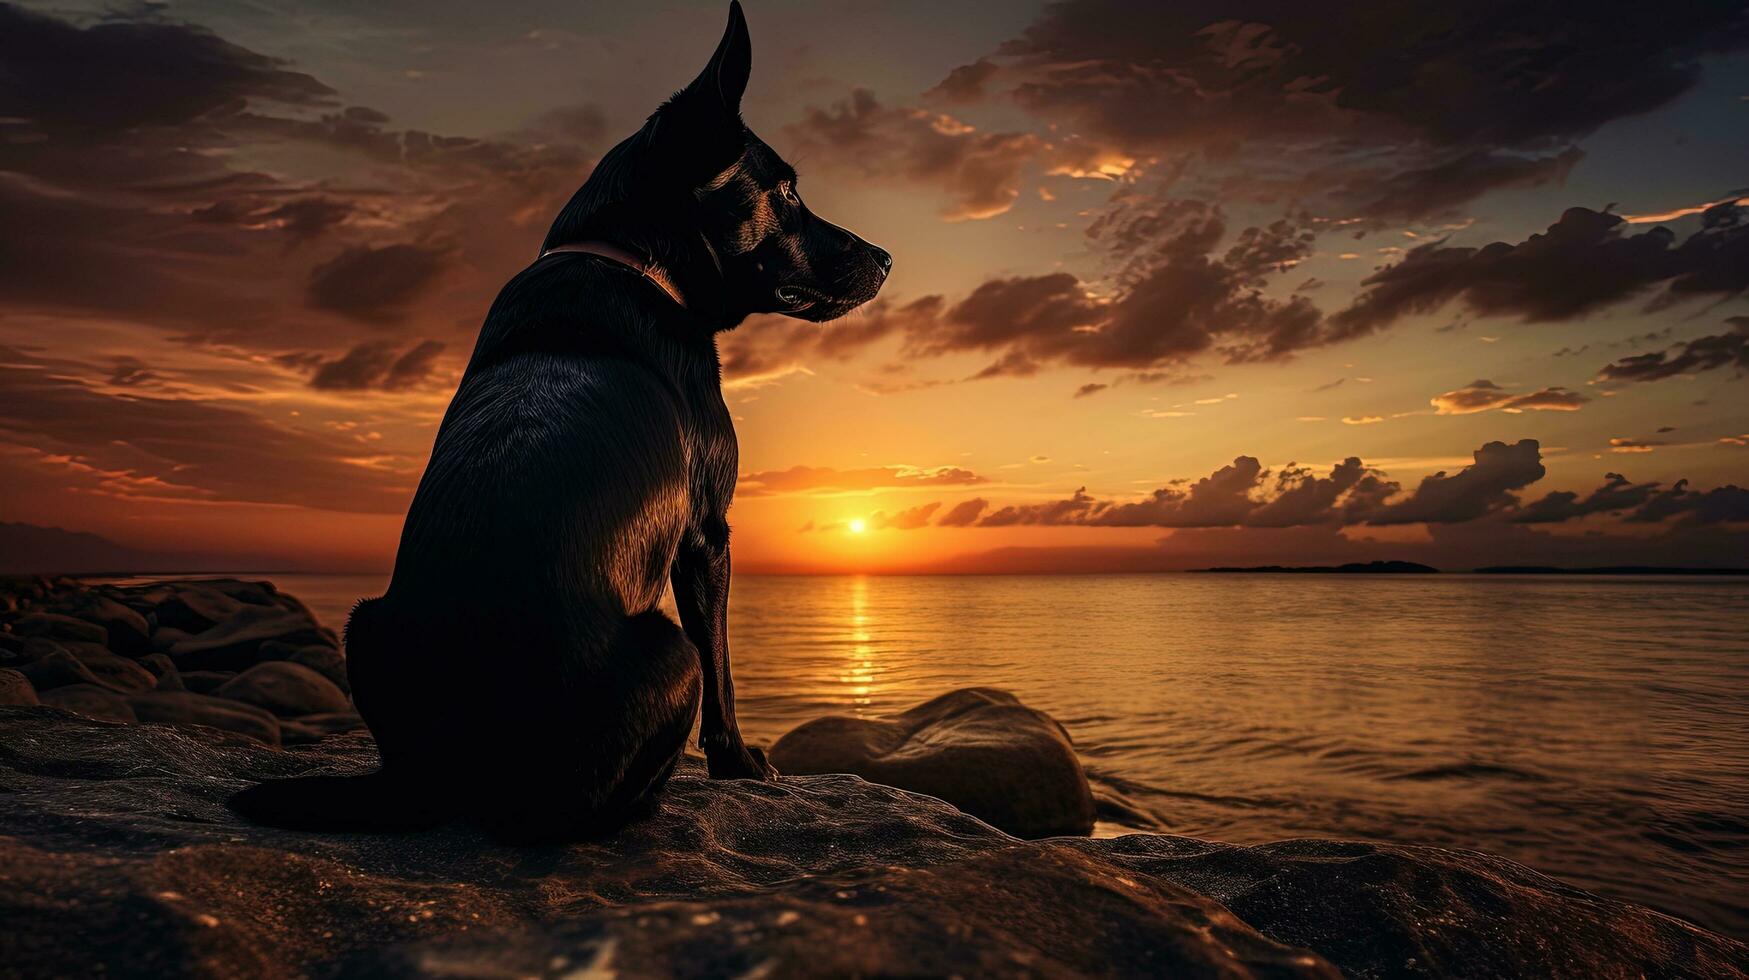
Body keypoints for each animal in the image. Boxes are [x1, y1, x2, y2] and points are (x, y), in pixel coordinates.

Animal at [232, 1, 888, 843]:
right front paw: (741, 765)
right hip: (664, 645)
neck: (630, 257)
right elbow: (723, 672)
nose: (885, 258)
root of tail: (438, 778)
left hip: (361, 621)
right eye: (788, 194)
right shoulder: (707, 532)